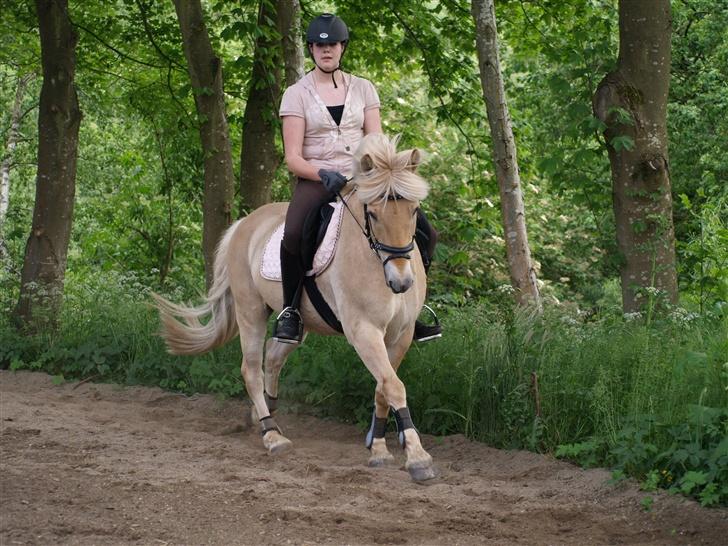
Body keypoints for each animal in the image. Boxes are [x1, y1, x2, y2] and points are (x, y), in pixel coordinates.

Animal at [154, 134, 436, 478]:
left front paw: (379, 447)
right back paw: (271, 434)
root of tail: (245, 223)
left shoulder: (401, 334)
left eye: (413, 210)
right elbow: (393, 386)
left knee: (274, 356)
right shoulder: (364, 331)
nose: (401, 282)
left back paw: (262, 412)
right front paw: (418, 458)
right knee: (251, 368)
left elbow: (383, 387)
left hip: (298, 322)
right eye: (373, 214)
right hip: (250, 311)